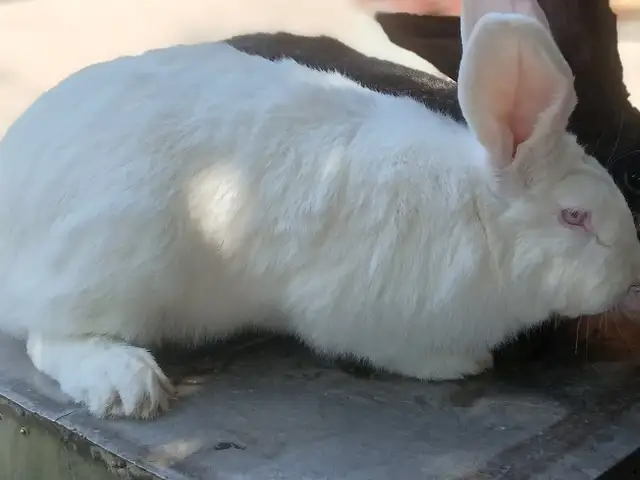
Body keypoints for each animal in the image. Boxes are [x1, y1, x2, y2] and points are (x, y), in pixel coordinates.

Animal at [0, 1, 639, 421]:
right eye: (575, 218)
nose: (629, 277)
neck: (479, 213)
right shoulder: (362, 315)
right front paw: (462, 363)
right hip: (117, 265)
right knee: (48, 337)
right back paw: (126, 383)